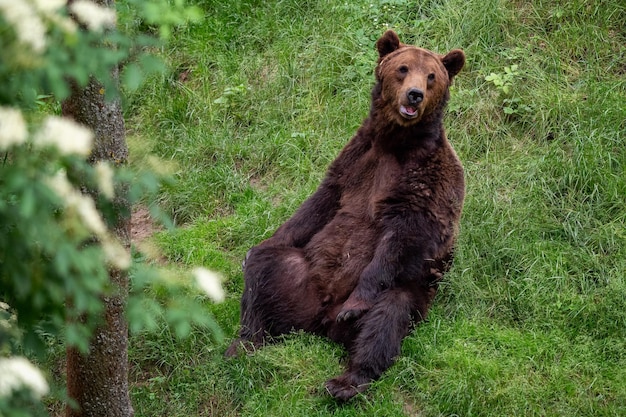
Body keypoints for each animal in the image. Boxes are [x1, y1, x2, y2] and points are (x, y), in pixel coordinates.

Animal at [224, 29, 464, 400]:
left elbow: (404, 236)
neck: (396, 143)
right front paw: (258, 247)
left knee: (386, 318)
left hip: (410, 292)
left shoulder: (429, 179)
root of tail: (320, 322)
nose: (415, 94)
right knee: (265, 274)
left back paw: (346, 381)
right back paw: (246, 341)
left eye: (432, 76)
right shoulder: (356, 158)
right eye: (403, 68)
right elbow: (321, 202)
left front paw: (356, 302)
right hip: (300, 276)